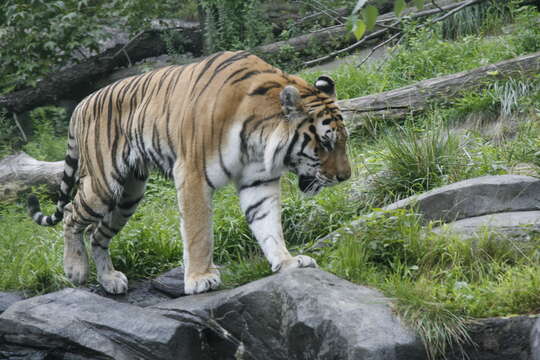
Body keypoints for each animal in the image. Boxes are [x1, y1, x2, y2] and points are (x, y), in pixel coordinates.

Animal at [27, 50, 352, 296]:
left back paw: (110, 279)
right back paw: (75, 269)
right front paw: (200, 278)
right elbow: (199, 233)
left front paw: (287, 262)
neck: (259, 139)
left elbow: (269, 224)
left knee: (97, 234)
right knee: (71, 214)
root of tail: (81, 104)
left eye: (343, 141)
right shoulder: (193, 174)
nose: (345, 177)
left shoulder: (258, 180)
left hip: (129, 195)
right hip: (104, 184)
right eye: (325, 143)